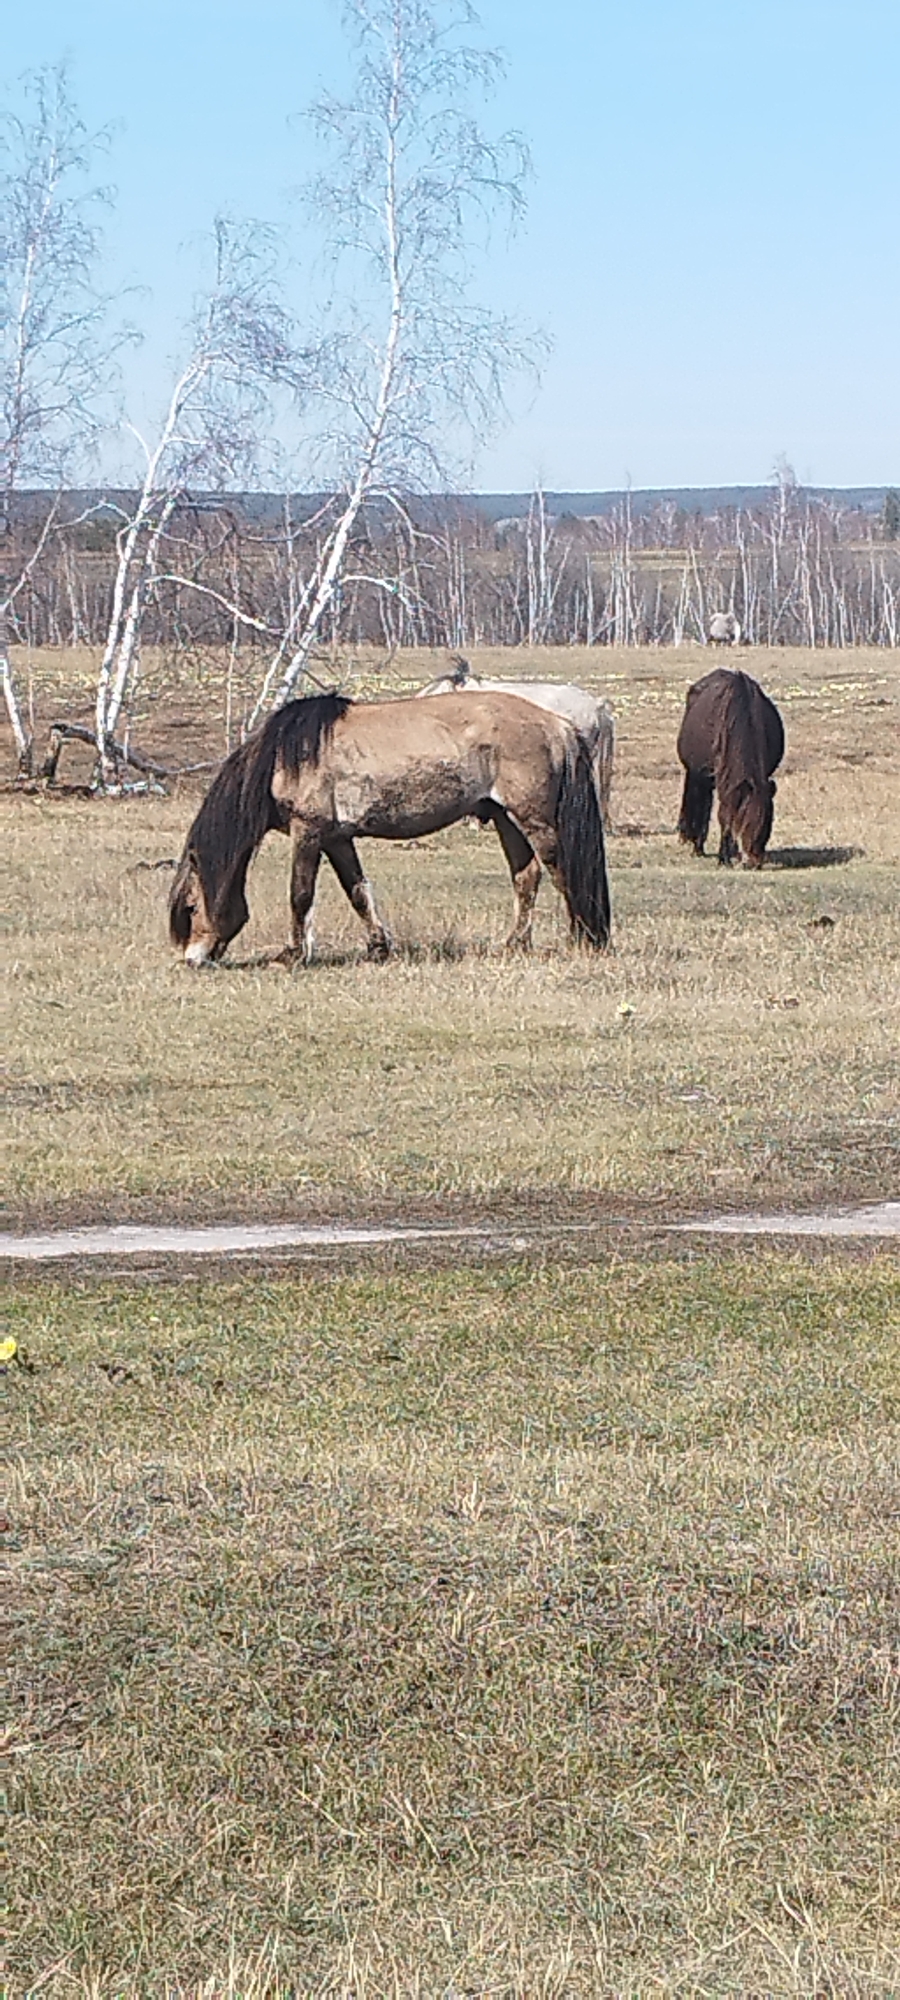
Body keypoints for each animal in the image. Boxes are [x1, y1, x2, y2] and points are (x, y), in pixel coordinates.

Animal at [169, 690, 611, 965]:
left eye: (190, 907)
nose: (193, 960)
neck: (286, 757)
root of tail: (558, 724)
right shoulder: (337, 839)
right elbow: (358, 893)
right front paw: (379, 947)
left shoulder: (308, 831)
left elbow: (300, 894)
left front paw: (292, 955)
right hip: (505, 818)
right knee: (526, 877)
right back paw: (514, 944)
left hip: (534, 819)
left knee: (561, 872)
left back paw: (584, 939)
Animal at [676, 667, 785, 867]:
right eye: (745, 823)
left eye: (768, 823)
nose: (753, 862)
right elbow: (723, 816)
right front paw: (723, 857)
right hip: (699, 777)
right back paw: (698, 846)